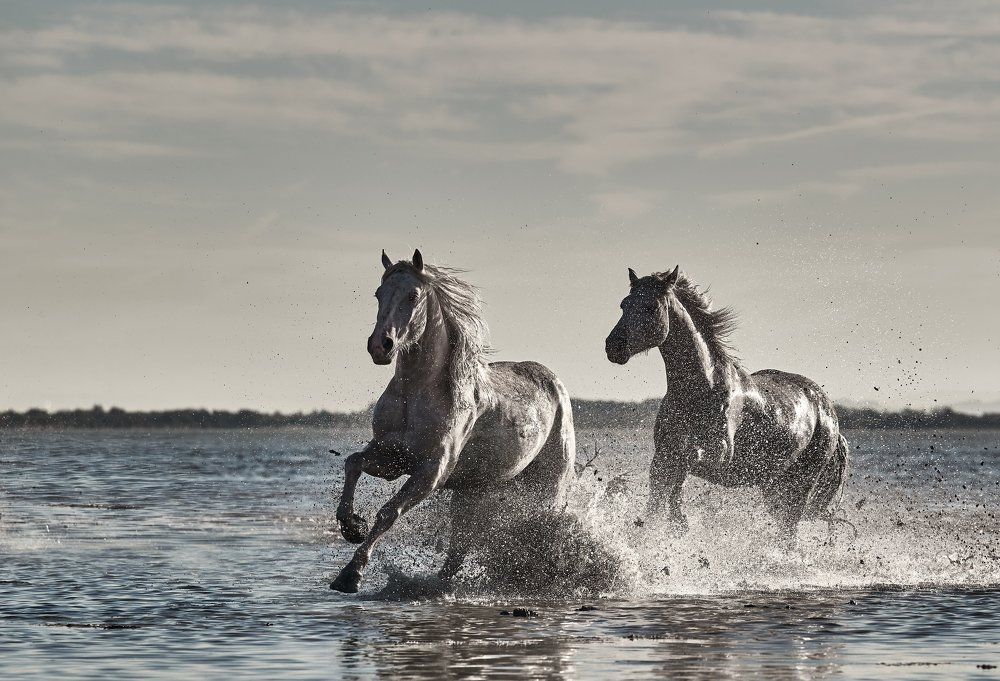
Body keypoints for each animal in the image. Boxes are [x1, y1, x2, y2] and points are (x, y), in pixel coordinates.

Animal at [331, 249, 576, 593]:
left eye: (413, 295)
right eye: (378, 294)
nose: (380, 346)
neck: (416, 395)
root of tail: (555, 383)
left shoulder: (433, 470)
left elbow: (388, 513)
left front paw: (350, 574)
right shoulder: (392, 457)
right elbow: (352, 462)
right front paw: (352, 526)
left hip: (547, 487)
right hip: (470, 493)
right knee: (458, 550)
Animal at [604, 265, 848, 542]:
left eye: (651, 307)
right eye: (624, 304)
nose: (613, 347)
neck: (698, 390)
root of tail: (830, 415)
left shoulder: (718, 453)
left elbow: (683, 468)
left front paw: (680, 521)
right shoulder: (662, 455)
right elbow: (657, 499)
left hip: (799, 486)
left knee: (789, 532)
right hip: (774, 487)